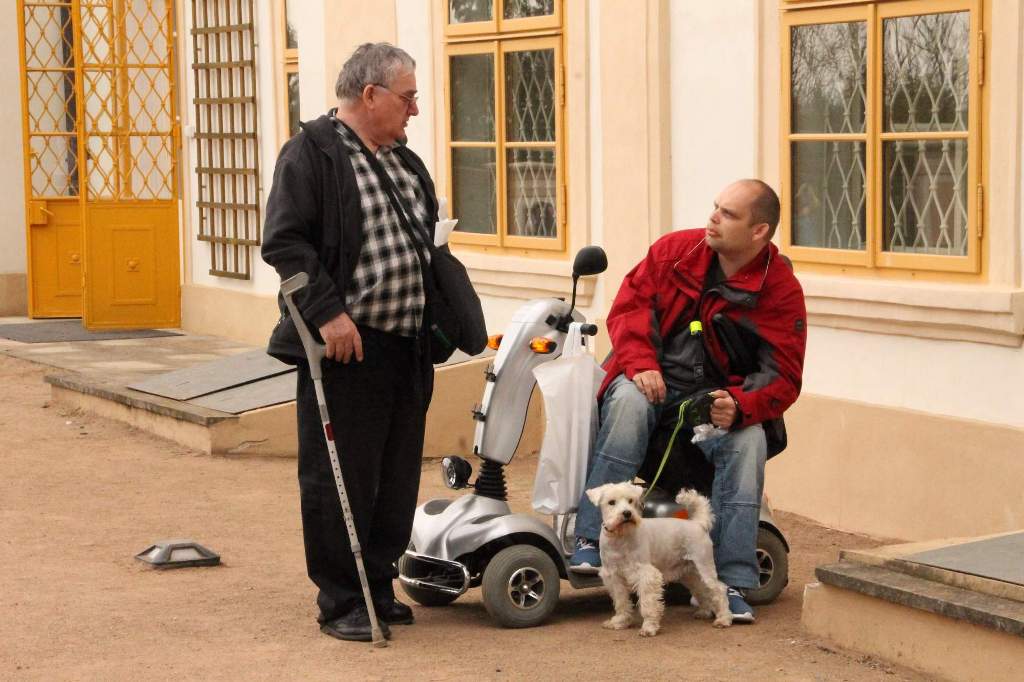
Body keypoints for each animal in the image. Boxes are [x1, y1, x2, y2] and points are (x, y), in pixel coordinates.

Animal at [586, 482, 733, 636]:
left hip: (704, 566)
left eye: (631, 500)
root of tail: (698, 523)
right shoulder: (613, 576)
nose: (627, 513)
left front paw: (649, 627)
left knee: (719, 589)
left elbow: (647, 604)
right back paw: (704, 612)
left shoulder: (646, 575)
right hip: (690, 574)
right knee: (702, 590)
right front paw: (620, 621)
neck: (620, 537)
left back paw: (723, 619)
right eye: (611, 502)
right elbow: (621, 601)